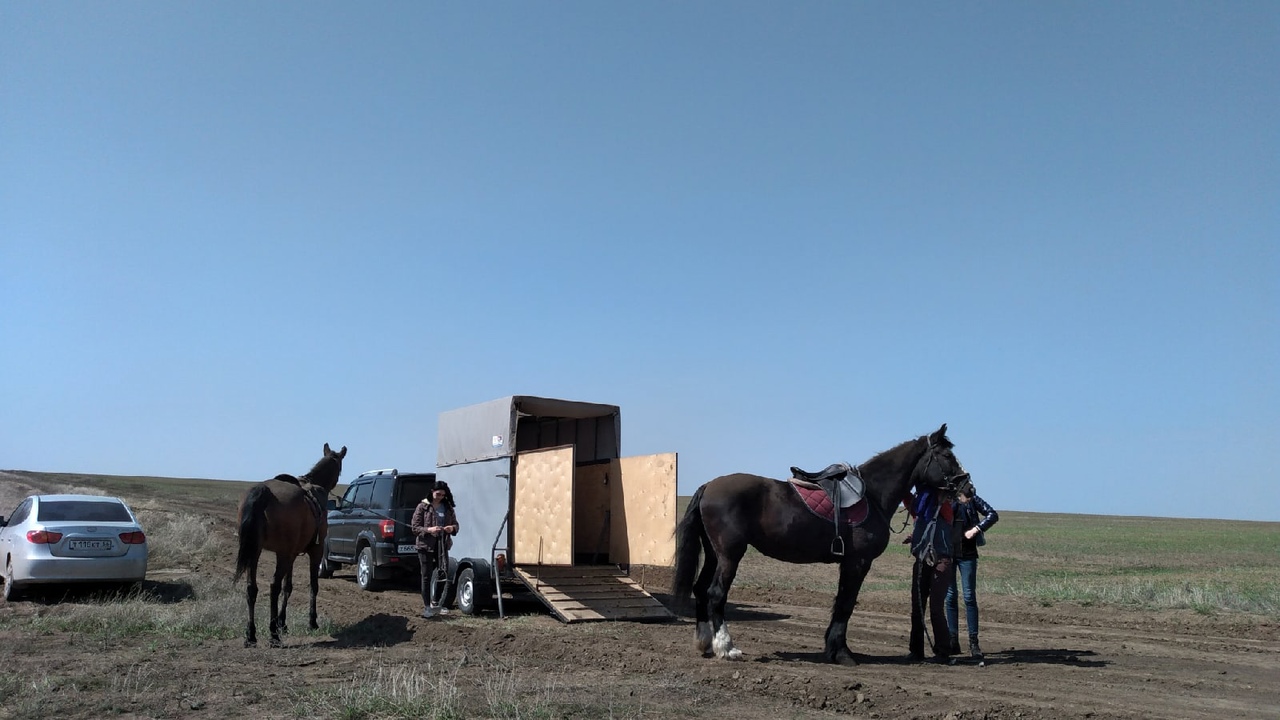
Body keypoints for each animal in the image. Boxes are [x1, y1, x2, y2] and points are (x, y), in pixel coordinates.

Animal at [234, 440, 345, 648]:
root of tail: (264, 492)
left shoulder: (291, 554)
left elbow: (288, 586)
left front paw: (282, 623)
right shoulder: (315, 551)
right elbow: (313, 585)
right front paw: (312, 621)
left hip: (256, 551)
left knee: (252, 588)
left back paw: (251, 634)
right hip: (281, 554)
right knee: (273, 586)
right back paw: (272, 635)